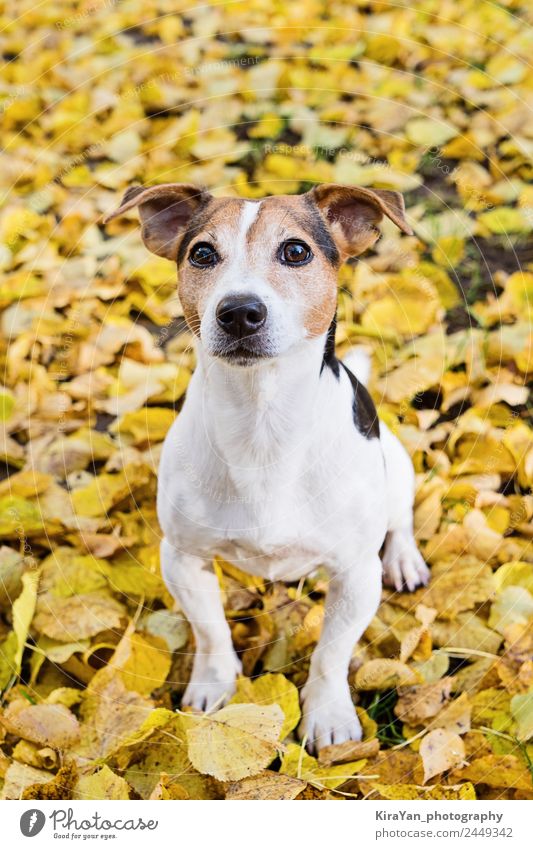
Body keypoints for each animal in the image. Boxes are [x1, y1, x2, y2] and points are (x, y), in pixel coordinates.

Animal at [104, 182, 428, 752]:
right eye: (201, 254)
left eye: (296, 251)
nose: (239, 311)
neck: (262, 422)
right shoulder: (182, 557)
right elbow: (211, 629)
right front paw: (213, 686)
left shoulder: (355, 573)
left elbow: (331, 653)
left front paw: (328, 715)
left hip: (397, 463)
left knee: (400, 518)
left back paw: (404, 558)